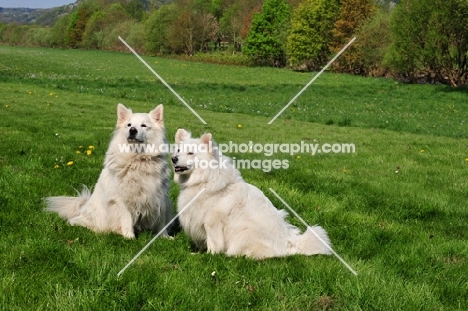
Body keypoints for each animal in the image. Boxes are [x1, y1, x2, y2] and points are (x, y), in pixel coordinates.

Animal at [46, 104, 174, 239]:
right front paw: (129, 237)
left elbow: (161, 220)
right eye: (129, 125)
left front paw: (165, 237)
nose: (132, 130)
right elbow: (127, 218)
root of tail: (83, 205)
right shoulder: (122, 199)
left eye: (144, 125)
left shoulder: (159, 196)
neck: (138, 160)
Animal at [170, 129, 330, 260]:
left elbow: (213, 243)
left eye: (190, 153)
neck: (205, 180)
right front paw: (198, 252)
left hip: (245, 233)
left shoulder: (211, 222)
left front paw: (207, 256)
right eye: (178, 150)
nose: (173, 158)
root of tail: (290, 245)